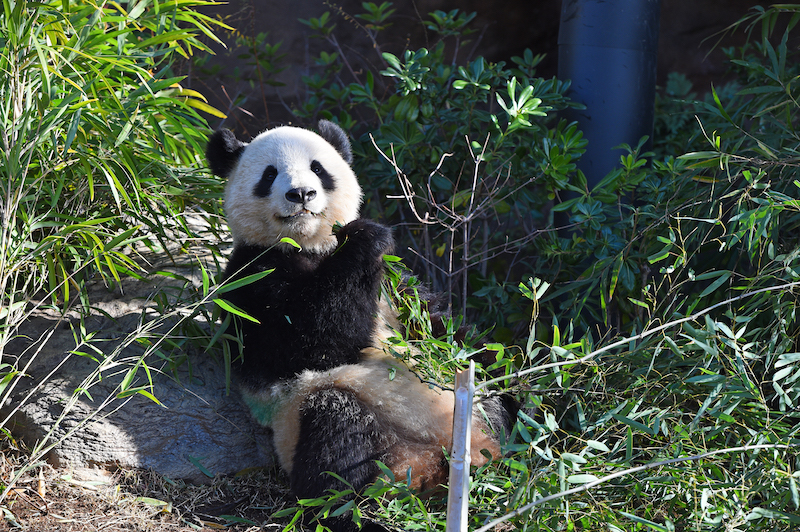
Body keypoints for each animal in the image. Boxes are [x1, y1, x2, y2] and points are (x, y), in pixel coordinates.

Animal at [206, 121, 516, 528]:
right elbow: (307, 342)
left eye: (318, 168)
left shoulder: (394, 285)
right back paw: (350, 511)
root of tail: (429, 463)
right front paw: (363, 236)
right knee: (337, 439)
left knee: (502, 406)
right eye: (269, 174)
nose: (301, 193)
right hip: (310, 417)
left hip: (477, 411)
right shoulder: (250, 278)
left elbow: (435, 326)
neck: (310, 245)